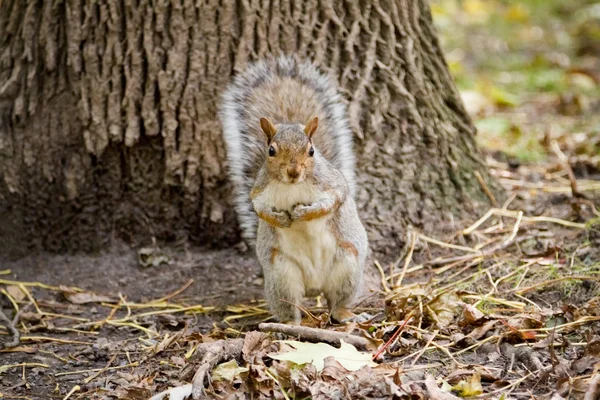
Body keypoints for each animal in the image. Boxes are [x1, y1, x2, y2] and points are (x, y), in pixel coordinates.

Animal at [219, 56, 368, 324]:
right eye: (271, 151)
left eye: (311, 151)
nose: (293, 172)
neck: (291, 186)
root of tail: (314, 288)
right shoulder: (259, 191)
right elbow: (258, 209)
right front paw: (281, 219)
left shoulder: (332, 184)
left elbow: (333, 201)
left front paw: (302, 213)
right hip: (281, 275)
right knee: (290, 305)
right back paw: (290, 322)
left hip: (348, 266)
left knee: (337, 303)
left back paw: (347, 315)